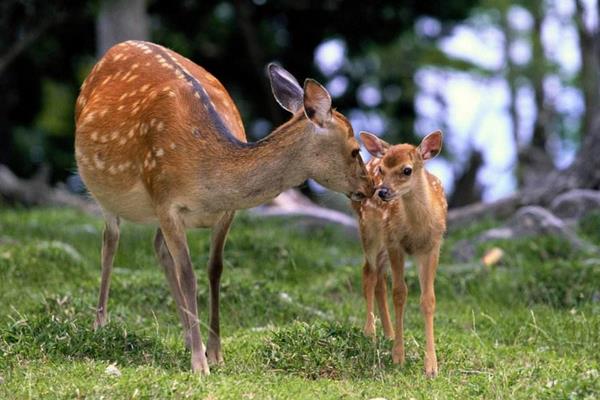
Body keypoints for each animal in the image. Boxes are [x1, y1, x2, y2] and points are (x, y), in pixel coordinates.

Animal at [74, 40, 372, 376]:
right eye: (355, 150)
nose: (370, 188)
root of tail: (115, 48)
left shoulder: (225, 213)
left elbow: (214, 270)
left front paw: (214, 353)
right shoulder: (165, 200)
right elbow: (188, 275)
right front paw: (199, 364)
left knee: (158, 247)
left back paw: (187, 336)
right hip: (104, 191)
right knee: (110, 242)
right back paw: (100, 324)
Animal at [352, 131, 446, 378]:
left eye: (407, 170)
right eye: (382, 169)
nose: (382, 191)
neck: (417, 228)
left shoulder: (433, 246)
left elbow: (428, 299)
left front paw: (431, 367)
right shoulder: (395, 242)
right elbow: (400, 294)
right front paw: (398, 357)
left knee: (379, 279)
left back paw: (389, 333)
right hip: (369, 232)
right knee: (368, 274)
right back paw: (370, 332)